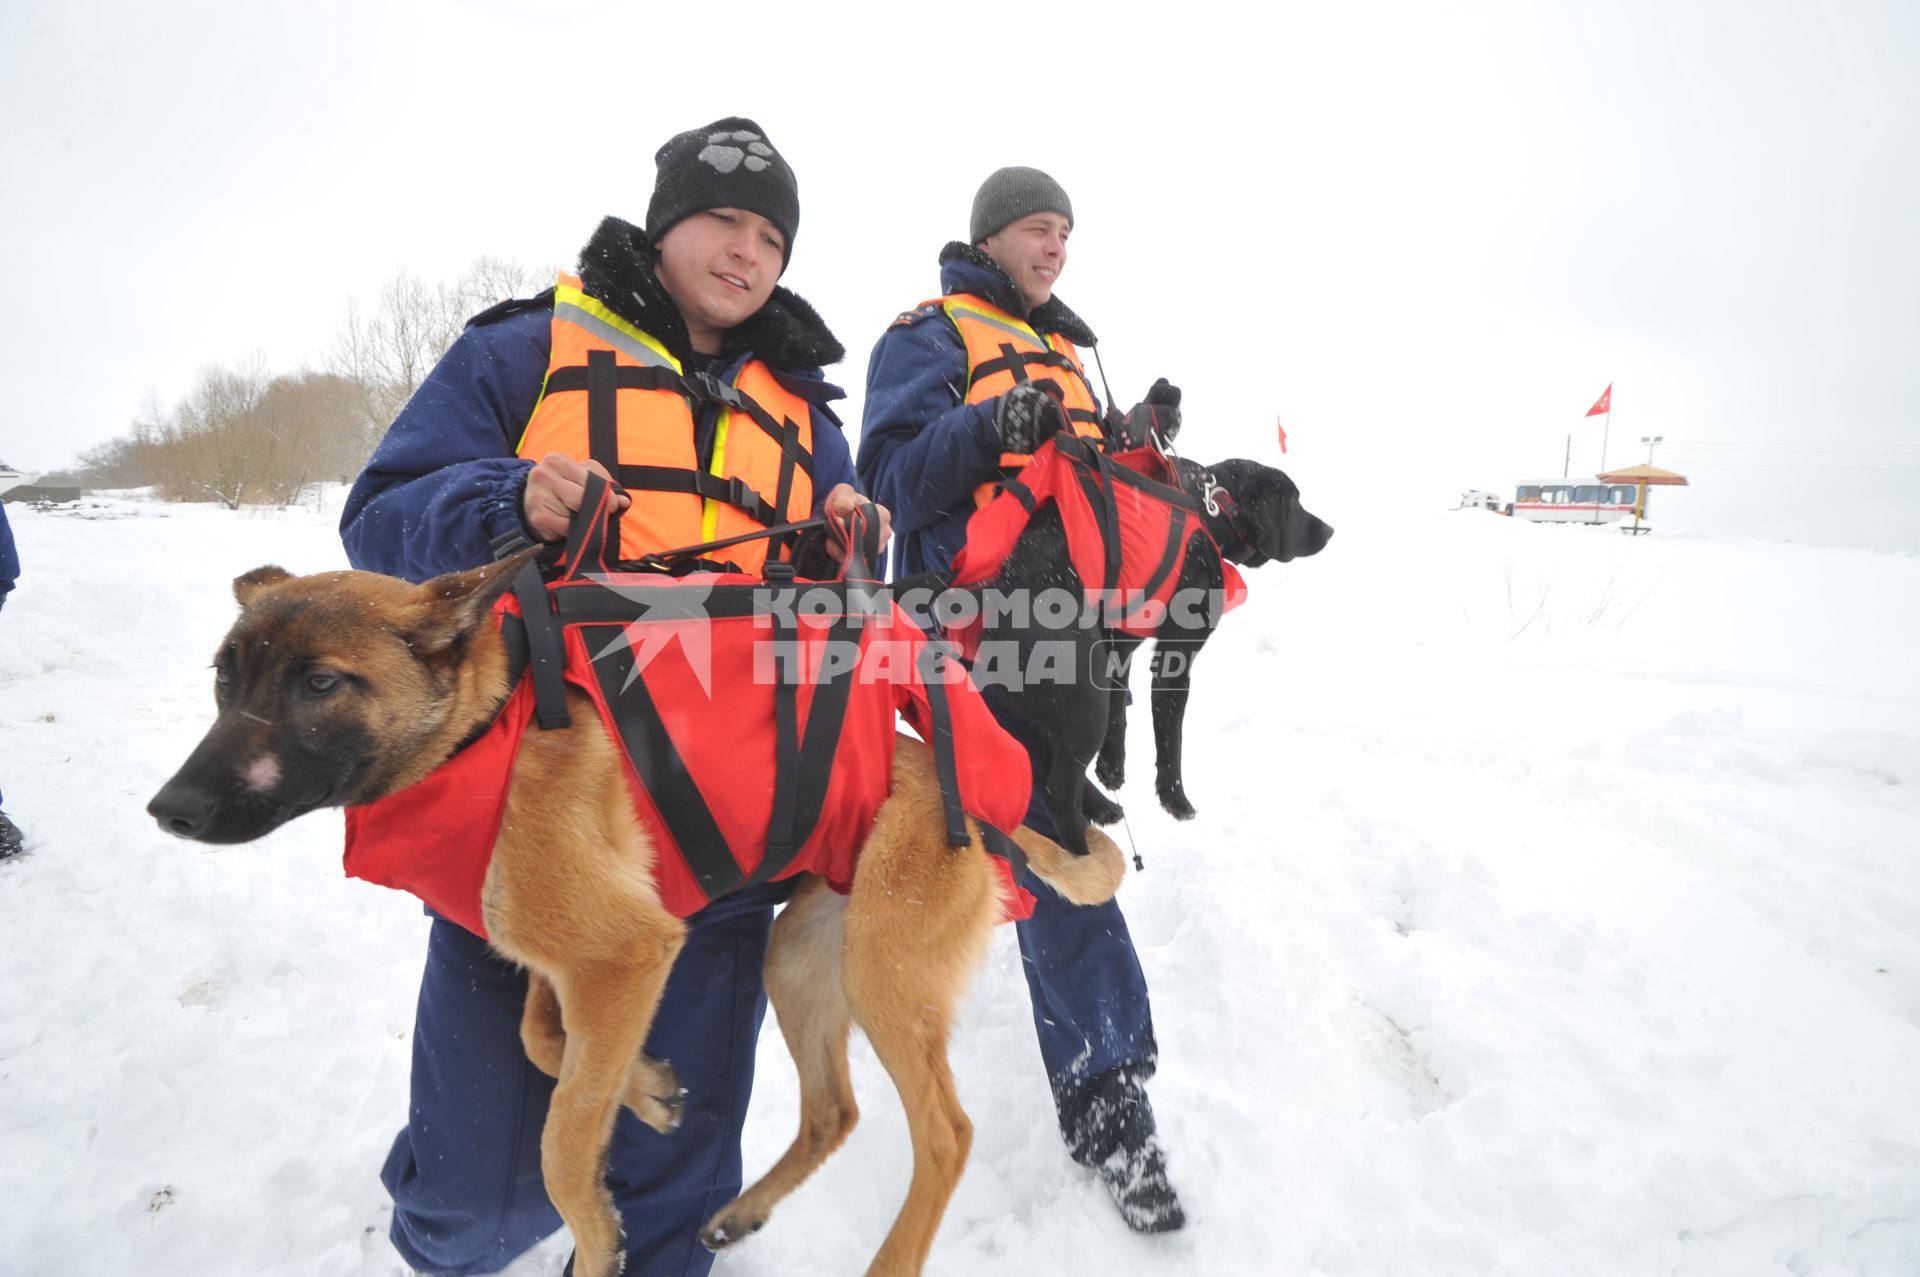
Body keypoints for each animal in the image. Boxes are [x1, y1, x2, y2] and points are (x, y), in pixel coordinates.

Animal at [149, 553, 1121, 1275]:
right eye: (223, 678)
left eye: (320, 682)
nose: (171, 808)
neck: (481, 734)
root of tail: (989, 816)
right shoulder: (566, 962)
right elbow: (547, 1044)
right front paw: (648, 1091)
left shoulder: (624, 953)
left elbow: (560, 1134)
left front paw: (596, 1231)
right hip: (799, 962)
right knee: (833, 1111)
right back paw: (741, 1211)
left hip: (883, 974)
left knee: (946, 1136)